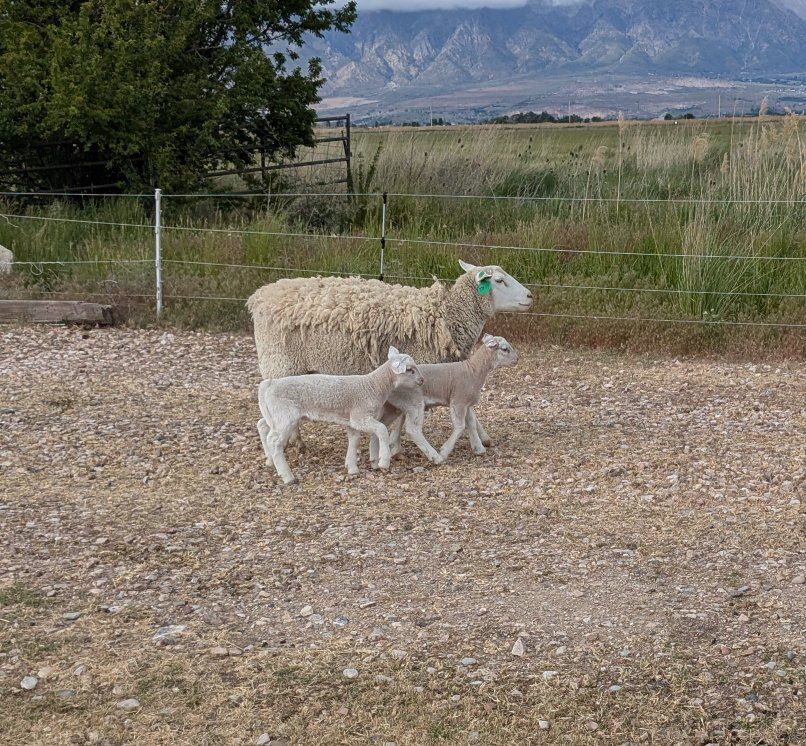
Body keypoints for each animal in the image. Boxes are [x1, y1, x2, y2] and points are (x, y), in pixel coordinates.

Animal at [256, 347, 441, 485]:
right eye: (409, 370)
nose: (422, 381)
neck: (373, 386)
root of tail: (269, 383)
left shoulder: (352, 421)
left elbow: (354, 440)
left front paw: (352, 468)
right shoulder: (360, 416)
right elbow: (381, 430)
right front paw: (383, 461)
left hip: (276, 415)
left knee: (263, 426)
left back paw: (269, 460)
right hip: (285, 416)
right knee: (274, 440)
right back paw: (287, 476)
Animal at [362, 335, 519, 466]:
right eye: (505, 349)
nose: (517, 359)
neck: (474, 371)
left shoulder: (467, 403)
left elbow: (471, 423)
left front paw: (478, 448)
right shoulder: (458, 401)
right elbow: (460, 426)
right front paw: (444, 451)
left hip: (393, 406)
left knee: (381, 424)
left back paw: (377, 459)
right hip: (413, 402)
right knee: (412, 430)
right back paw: (435, 457)